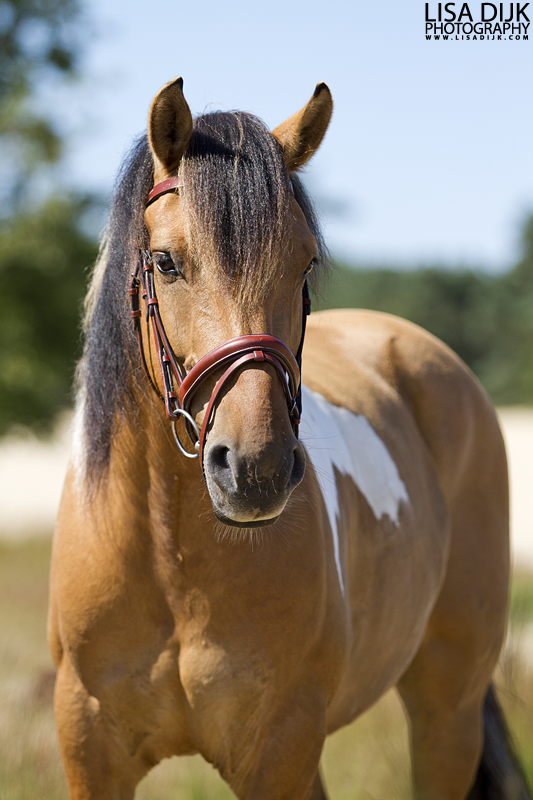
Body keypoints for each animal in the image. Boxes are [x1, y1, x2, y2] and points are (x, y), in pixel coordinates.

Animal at [47, 76, 528, 800]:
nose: (256, 469)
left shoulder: (280, 746)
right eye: (164, 262)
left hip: (446, 710)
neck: (168, 559)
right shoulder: (91, 753)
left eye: (304, 263)